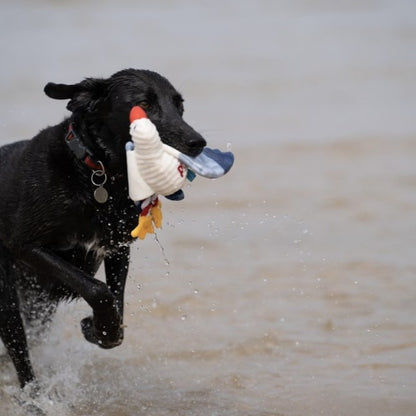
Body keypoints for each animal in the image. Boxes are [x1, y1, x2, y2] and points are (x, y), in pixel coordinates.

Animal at [0, 66, 206, 388]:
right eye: (143, 104)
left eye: (179, 105)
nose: (198, 143)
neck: (96, 173)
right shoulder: (25, 245)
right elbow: (98, 290)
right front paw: (96, 324)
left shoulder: (117, 247)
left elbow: (116, 300)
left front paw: (103, 330)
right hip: (8, 302)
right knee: (22, 360)